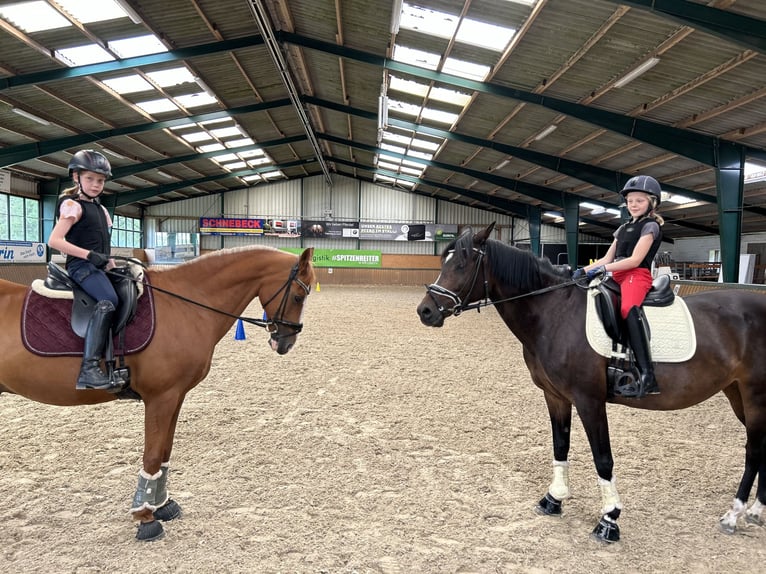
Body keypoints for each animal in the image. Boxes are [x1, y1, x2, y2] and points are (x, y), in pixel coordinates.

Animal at [0, 245, 316, 544]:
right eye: (298, 296)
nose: (285, 343)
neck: (185, 302)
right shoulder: (160, 397)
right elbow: (152, 455)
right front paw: (145, 518)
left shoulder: (175, 396)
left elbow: (165, 450)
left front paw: (162, 505)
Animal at [420, 225, 766, 544]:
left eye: (461, 264)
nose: (425, 311)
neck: (554, 313)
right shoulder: (555, 396)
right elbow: (560, 445)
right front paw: (553, 499)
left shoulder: (589, 400)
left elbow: (603, 458)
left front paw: (609, 520)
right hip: (735, 392)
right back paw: (756, 511)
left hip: (754, 395)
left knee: (754, 450)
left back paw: (734, 515)